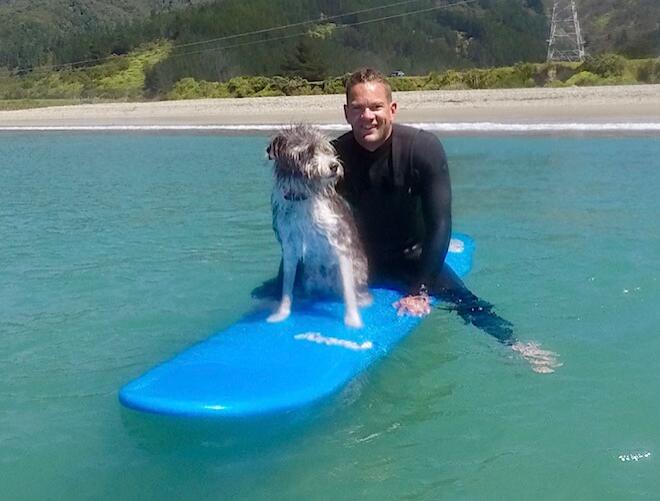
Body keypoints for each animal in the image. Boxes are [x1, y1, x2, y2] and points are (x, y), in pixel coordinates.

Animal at [266, 124, 372, 328]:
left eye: (326, 149)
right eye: (308, 151)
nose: (334, 166)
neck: (304, 197)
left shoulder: (340, 242)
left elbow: (348, 291)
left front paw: (352, 319)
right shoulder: (290, 246)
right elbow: (286, 287)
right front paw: (282, 313)